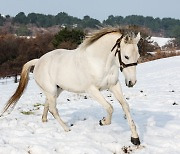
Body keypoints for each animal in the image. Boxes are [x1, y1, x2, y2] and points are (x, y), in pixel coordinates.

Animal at [2, 28, 141, 146]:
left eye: (138, 56)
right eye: (126, 56)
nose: (131, 82)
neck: (98, 62)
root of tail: (38, 61)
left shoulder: (114, 86)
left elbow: (125, 106)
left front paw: (135, 138)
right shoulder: (92, 90)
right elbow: (110, 107)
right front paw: (103, 121)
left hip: (56, 90)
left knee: (47, 105)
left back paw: (45, 121)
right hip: (51, 90)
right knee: (53, 109)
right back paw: (66, 128)